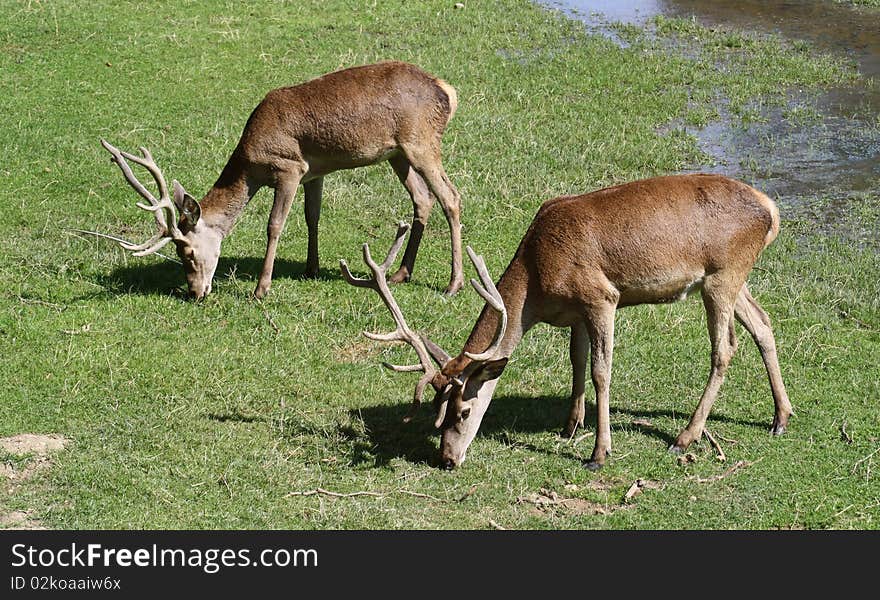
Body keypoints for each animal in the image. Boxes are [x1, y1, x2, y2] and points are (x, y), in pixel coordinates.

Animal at [97, 61, 468, 300]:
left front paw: (261, 289)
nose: (194, 292)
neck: (252, 165)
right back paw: (401, 273)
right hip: (398, 154)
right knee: (423, 198)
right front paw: (311, 268)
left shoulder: (290, 169)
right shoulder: (315, 172)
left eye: (186, 251)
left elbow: (275, 225)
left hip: (421, 143)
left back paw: (453, 284)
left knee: (451, 196)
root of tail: (448, 91)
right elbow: (312, 216)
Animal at [346, 172, 796, 468]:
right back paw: (780, 418)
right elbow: (576, 362)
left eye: (462, 411)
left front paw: (599, 452)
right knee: (763, 323)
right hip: (733, 278)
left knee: (725, 348)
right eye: (436, 409)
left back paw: (685, 438)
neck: (538, 283)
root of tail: (770, 210)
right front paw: (570, 427)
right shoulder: (577, 313)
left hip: (722, 274)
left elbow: (601, 372)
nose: (446, 459)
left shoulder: (601, 297)